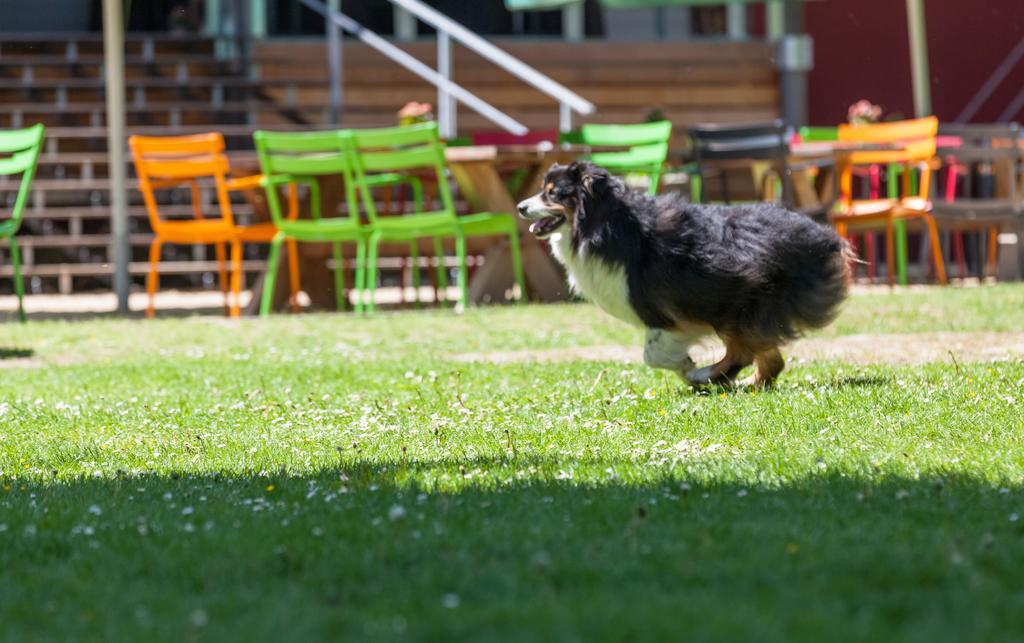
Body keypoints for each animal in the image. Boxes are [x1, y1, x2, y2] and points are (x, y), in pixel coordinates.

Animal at [520, 162, 847, 389]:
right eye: (543, 188)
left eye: (552, 193)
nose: (521, 206)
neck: (604, 223)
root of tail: (823, 237)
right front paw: (688, 370)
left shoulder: (661, 312)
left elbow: (652, 354)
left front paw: (688, 367)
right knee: (770, 359)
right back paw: (743, 383)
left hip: (736, 301)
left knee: (742, 351)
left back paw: (708, 375)